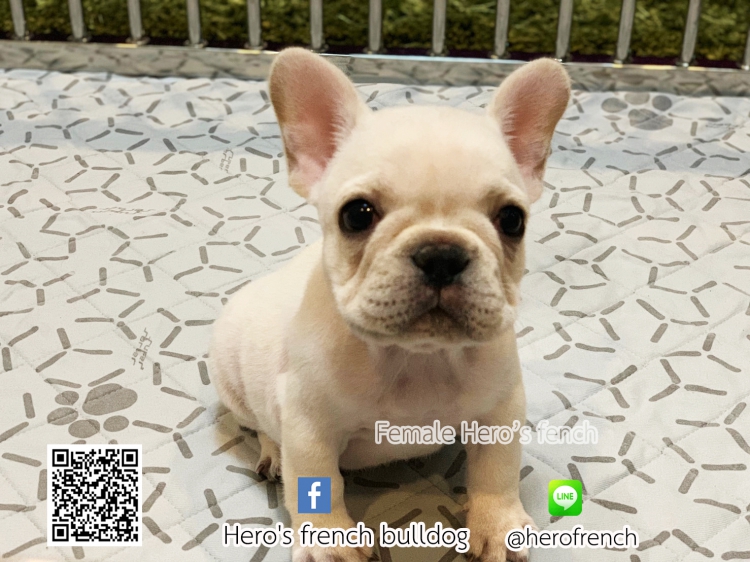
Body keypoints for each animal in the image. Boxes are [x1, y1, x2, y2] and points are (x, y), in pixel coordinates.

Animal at [209, 48, 570, 562]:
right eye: (357, 215)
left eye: (512, 220)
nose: (441, 254)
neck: (417, 359)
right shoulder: (308, 426)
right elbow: (319, 483)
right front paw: (330, 544)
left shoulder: (500, 410)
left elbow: (496, 470)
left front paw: (497, 526)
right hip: (232, 383)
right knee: (260, 426)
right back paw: (273, 454)